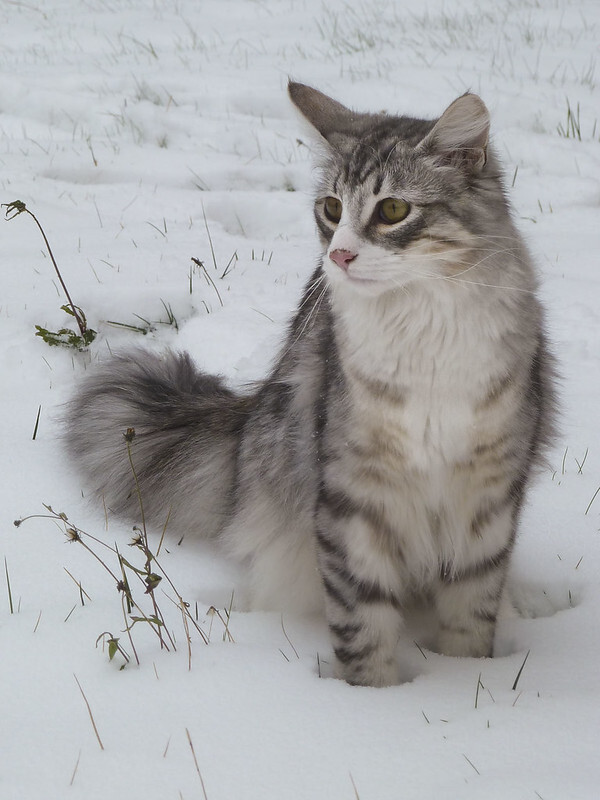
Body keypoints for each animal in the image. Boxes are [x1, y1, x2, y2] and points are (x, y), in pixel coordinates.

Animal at [67, 84, 556, 692]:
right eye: (332, 209)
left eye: (393, 210)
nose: (338, 255)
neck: (424, 335)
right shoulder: (352, 493)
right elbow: (362, 620)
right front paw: (371, 699)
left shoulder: (487, 494)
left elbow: (472, 610)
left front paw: (470, 678)